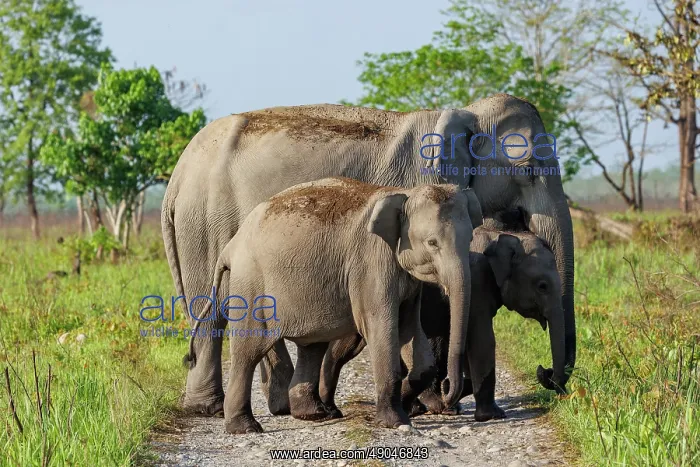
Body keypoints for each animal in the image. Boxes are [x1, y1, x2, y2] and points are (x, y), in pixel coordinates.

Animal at [182, 177, 484, 433]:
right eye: (432, 243)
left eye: (471, 238)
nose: (448, 389)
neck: (403, 193)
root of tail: (231, 246)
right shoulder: (371, 264)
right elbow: (381, 327)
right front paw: (396, 422)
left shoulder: (407, 281)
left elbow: (411, 333)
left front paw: (408, 402)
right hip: (251, 286)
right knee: (250, 350)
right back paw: (246, 428)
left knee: (312, 346)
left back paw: (314, 414)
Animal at [317, 225, 563, 423]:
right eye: (542, 286)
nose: (545, 370)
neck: (504, 235)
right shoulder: (477, 282)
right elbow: (481, 339)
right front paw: (493, 415)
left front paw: (449, 398)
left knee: (346, 346)